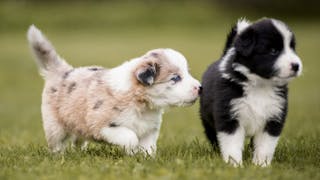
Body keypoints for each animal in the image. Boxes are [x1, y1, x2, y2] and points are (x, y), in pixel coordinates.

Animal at [28, 25, 201, 156]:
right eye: (175, 78)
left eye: (187, 73)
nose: (200, 88)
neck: (140, 103)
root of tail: (62, 70)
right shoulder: (104, 125)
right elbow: (130, 137)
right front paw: (132, 153)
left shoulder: (150, 129)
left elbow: (148, 146)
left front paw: (146, 158)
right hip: (54, 125)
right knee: (58, 143)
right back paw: (59, 156)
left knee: (78, 139)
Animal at [200, 17, 302, 166]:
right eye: (273, 50)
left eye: (292, 48)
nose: (296, 66)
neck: (260, 85)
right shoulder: (229, 115)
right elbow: (232, 144)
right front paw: (234, 164)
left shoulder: (274, 117)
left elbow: (265, 146)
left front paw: (261, 165)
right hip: (208, 120)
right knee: (213, 137)